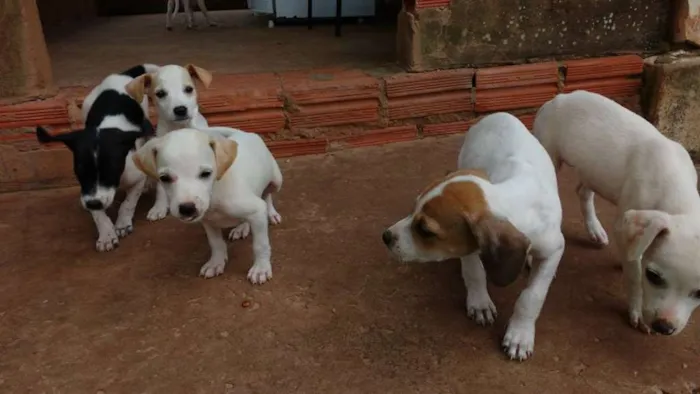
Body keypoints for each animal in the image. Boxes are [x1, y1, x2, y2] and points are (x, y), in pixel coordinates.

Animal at [35, 63, 159, 251]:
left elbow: (128, 203)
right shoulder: (87, 192)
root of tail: (121, 75)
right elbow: (98, 215)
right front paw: (106, 234)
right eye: (79, 171)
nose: (92, 204)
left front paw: (122, 224)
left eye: (111, 170)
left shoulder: (136, 178)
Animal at [126, 65, 213, 225]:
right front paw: (159, 207)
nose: (180, 109)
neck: (179, 129)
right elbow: (161, 188)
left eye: (188, 89)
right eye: (160, 94)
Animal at [133, 126, 284, 284]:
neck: (214, 195)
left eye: (206, 173)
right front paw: (216, 263)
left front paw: (261, 268)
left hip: (276, 181)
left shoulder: (257, 211)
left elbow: (260, 245)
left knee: (267, 195)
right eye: (164, 178)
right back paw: (241, 227)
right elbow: (216, 243)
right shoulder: (208, 222)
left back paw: (271, 214)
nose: (187, 208)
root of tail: (245, 133)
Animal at [380, 112, 568, 362]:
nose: (386, 236)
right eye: (413, 209)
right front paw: (480, 303)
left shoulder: (554, 248)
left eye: (425, 230)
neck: (513, 199)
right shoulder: (467, 247)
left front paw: (520, 335)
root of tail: (500, 114)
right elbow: (474, 272)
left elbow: (532, 296)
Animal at [532, 91, 700, 338]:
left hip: (592, 169)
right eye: (653, 276)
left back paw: (595, 231)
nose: (664, 327)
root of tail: (560, 96)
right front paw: (637, 313)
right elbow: (634, 276)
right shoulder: (624, 225)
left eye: (699, 293)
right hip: (548, 152)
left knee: (582, 192)